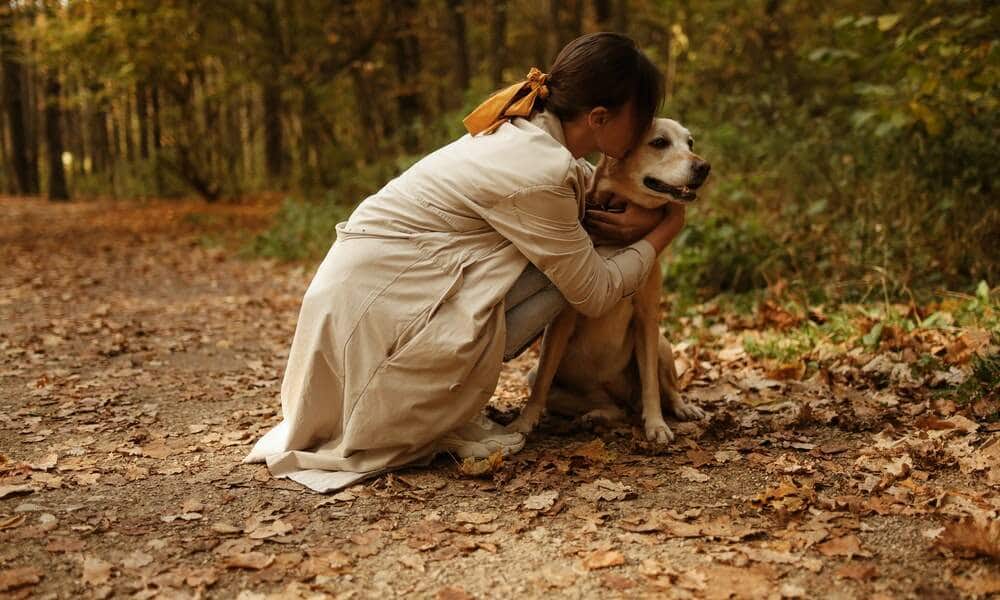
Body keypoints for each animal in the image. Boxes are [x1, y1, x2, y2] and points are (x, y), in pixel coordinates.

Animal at [516, 117, 712, 440]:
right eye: (659, 142)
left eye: (691, 142)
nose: (704, 167)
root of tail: (623, 398)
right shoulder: (560, 323)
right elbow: (543, 381)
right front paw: (524, 422)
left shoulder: (647, 319)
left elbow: (651, 385)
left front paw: (656, 424)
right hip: (552, 380)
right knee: (612, 408)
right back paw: (594, 416)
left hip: (662, 345)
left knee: (665, 389)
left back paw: (682, 408)